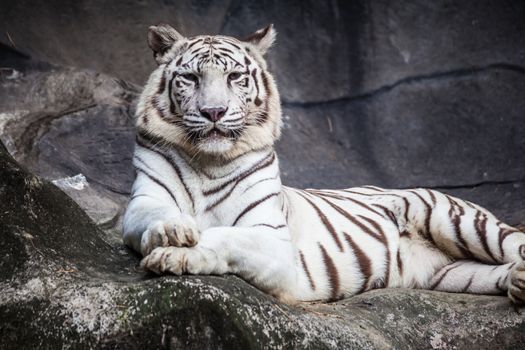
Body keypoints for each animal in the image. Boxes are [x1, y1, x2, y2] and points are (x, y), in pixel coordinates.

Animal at [123, 23, 524, 304]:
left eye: (234, 77)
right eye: (190, 78)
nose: (214, 112)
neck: (209, 159)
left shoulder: (273, 240)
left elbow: (223, 236)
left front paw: (177, 253)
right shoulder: (142, 202)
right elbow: (155, 217)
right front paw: (173, 232)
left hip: (454, 219)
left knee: (513, 241)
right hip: (451, 274)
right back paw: (517, 283)